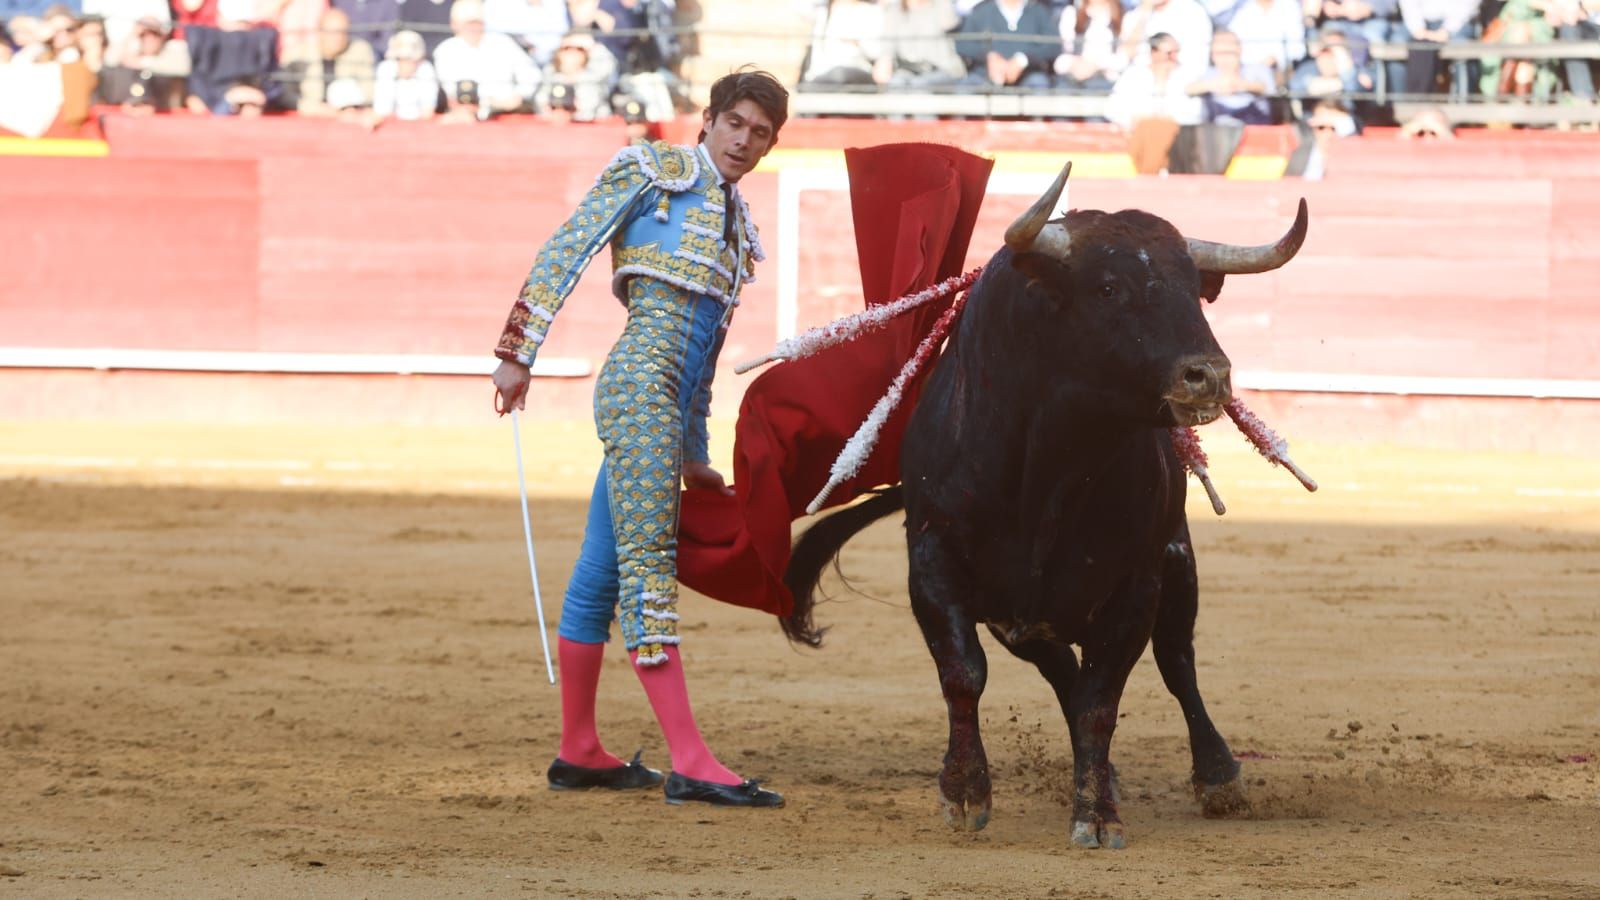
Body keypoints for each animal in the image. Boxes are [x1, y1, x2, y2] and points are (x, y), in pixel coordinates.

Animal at [780, 164, 1305, 845]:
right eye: (1108, 287)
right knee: (1062, 668)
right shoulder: (934, 562)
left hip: (1175, 561)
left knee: (1175, 662)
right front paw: (965, 791)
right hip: (1017, 613)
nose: (1209, 376)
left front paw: (1098, 816)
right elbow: (965, 674)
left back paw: (1216, 776)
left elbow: (1103, 700)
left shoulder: (1137, 581)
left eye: (1196, 291)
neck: (1049, 469)